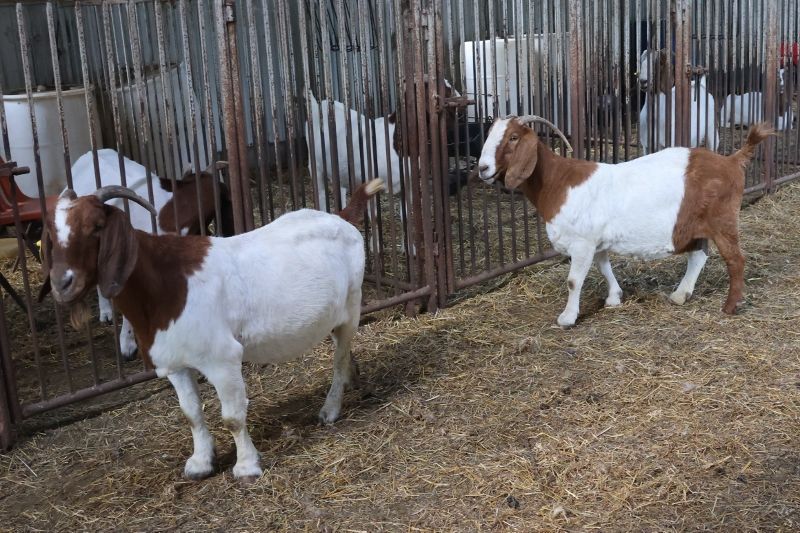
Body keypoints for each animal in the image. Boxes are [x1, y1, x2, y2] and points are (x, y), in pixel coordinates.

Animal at [43, 179, 384, 482]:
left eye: (97, 225)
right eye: (51, 233)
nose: (62, 283)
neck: (168, 285)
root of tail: (342, 216)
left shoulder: (222, 358)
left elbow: (232, 417)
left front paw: (246, 467)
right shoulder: (174, 364)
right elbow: (191, 413)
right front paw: (200, 463)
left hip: (352, 306)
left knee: (339, 356)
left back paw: (330, 409)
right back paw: (353, 378)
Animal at [478, 114, 772, 326]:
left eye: (513, 137)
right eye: (489, 135)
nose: (482, 168)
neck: (557, 182)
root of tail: (732, 161)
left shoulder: (582, 242)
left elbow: (574, 280)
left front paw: (567, 318)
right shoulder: (596, 240)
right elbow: (604, 266)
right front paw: (614, 297)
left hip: (724, 220)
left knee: (736, 260)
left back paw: (730, 306)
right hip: (694, 226)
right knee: (698, 256)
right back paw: (680, 295)